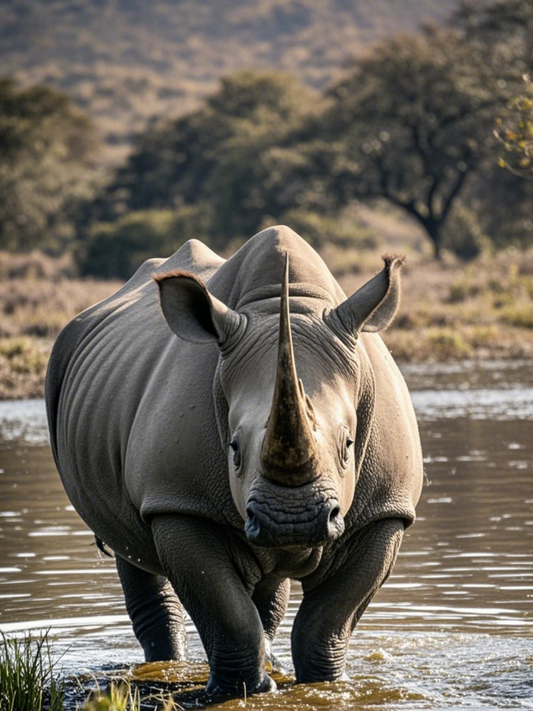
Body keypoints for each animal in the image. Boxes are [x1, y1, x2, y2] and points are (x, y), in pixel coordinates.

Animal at [46, 226, 423, 696]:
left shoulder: (384, 510)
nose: (291, 522)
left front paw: (324, 685)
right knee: (127, 546)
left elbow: (328, 621)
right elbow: (226, 613)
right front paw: (240, 692)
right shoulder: (180, 501)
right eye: (234, 449)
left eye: (349, 445)